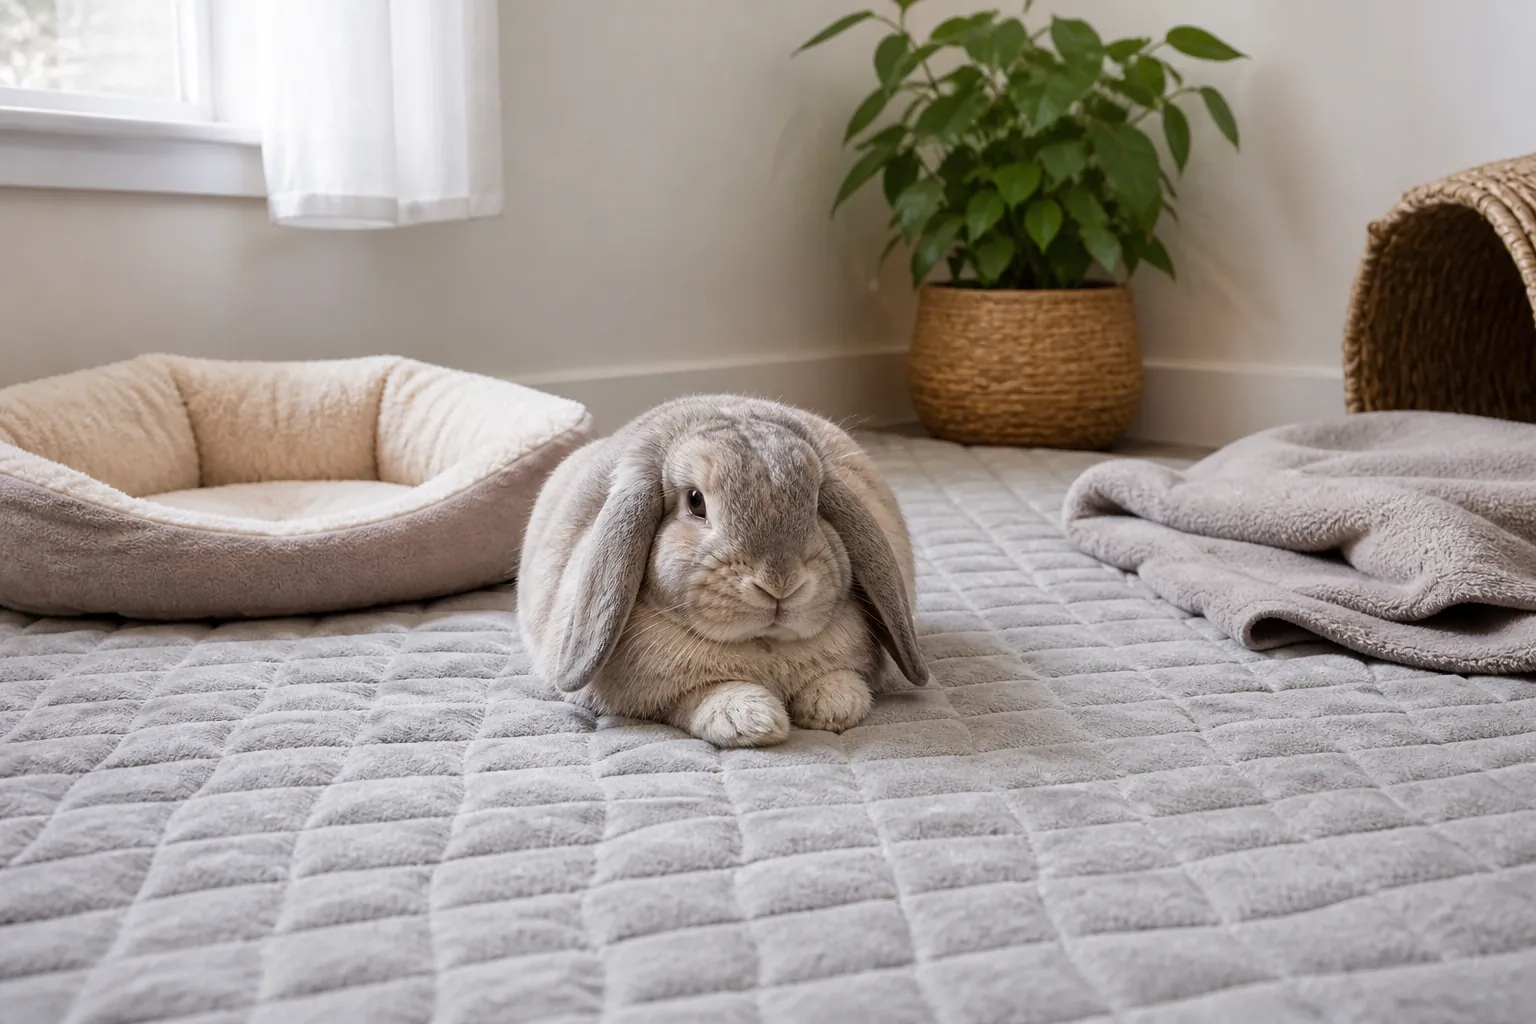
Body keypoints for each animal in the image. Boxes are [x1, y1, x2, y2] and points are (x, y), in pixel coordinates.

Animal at [518, 394, 928, 747]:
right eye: (695, 502)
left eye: (816, 504)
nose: (780, 584)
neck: (763, 644)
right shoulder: (664, 697)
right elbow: (698, 698)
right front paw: (753, 721)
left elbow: (840, 678)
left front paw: (834, 708)